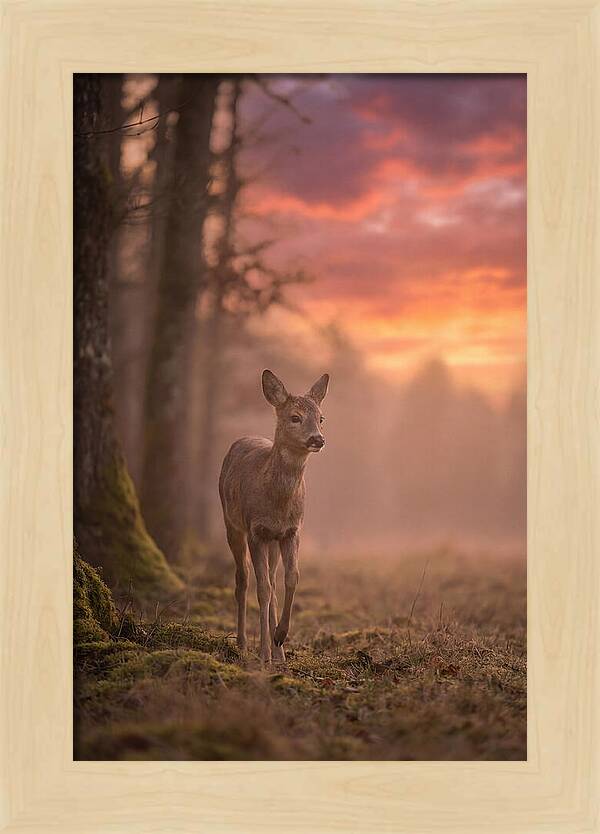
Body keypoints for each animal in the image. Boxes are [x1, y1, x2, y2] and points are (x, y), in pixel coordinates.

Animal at [219, 369, 329, 664]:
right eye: (295, 417)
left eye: (321, 418)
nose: (317, 439)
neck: (277, 504)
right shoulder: (256, 530)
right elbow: (263, 589)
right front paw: (263, 653)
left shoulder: (292, 531)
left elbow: (292, 578)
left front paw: (280, 636)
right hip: (232, 523)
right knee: (243, 579)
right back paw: (244, 643)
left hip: (273, 542)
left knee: (270, 578)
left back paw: (279, 652)